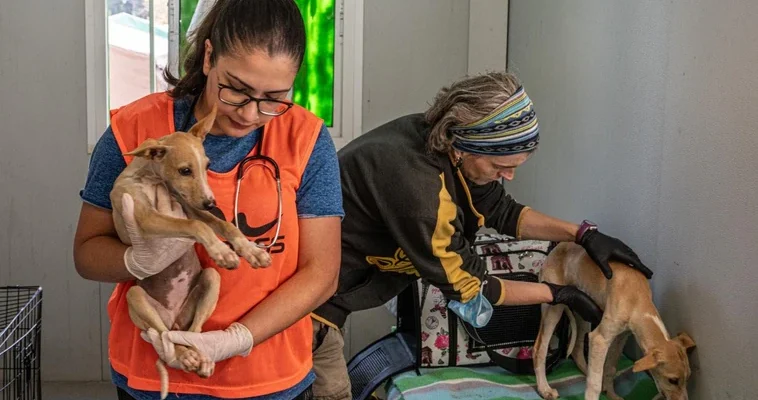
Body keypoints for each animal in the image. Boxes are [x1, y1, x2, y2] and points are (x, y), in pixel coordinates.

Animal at [108, 104, 272, 398]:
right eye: (185, 170)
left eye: (207, 166)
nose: (211, 202)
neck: (152, 178)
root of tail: (174, 317)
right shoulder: (145, 218)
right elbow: (196, 225)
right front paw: (222, 252)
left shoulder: (189, 206)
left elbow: (222, 224)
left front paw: (249, 250)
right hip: (137, 299)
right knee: (165, 337)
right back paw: (184, 356)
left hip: (210, 281)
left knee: (194, 333)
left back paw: (203, 358)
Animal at [532, 242, 696, 398]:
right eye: (673, 380)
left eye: (688, 377)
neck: (637, 297)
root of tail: (555, 249)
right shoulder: (600, 339)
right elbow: (594, 384)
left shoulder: (620, 337)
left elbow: (610, 368)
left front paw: (611, 394)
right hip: (553, 308)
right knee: (539, 349)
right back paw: (544, 389)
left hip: (583, 310)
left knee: (578, 349)